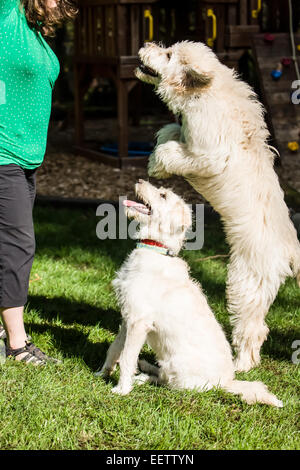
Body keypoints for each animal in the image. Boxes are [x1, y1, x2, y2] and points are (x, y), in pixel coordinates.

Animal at [97, 180, 282, 408]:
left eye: (163, 195)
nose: (139, 181)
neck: (156, 249)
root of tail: (227, 381)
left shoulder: (138, 322)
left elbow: (126, 358)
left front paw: (122, 389)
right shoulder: (127, 319)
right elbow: (115, 349)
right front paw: (102, 373)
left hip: (177, 370)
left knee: (164, 381)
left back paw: (142, 376)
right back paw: (145, 368)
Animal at [136, 41, 300, 370]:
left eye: (169, 55)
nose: (147, 44)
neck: (207, 93)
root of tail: (291, 246)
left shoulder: (205, 156)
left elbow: (172, 150)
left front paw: (156, 164)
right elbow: (172, 131)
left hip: (247, 283)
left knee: (254, 328)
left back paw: (242, 364)